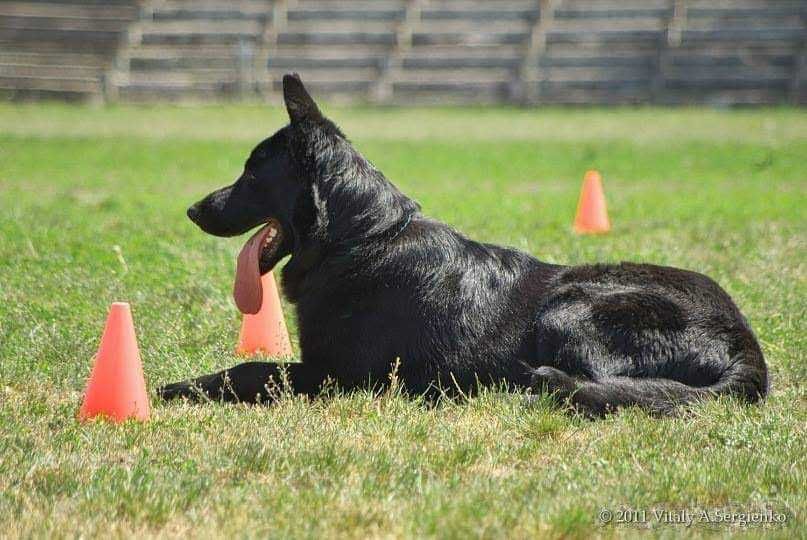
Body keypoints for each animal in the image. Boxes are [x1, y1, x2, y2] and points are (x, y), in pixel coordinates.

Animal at [159, 74, 772, 416]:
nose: (192, 210)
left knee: (605, 387)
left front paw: (180, 388)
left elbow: (252, 371)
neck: (363, 240)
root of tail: (746, 346)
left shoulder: (341, 376)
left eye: (251, 174)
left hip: (572, 306)